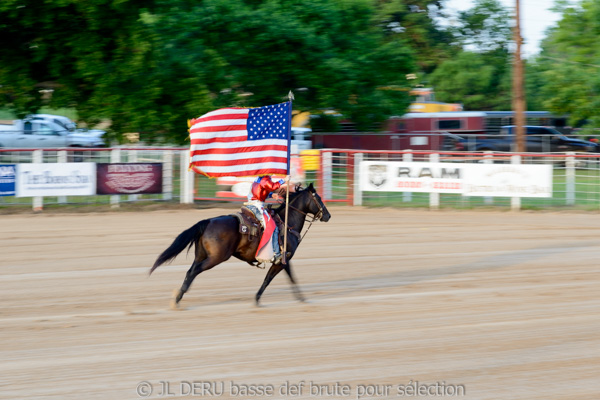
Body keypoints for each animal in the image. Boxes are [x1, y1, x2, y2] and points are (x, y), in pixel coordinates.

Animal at [148, 183, 330, 308]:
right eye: (319, 198)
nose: (327, 215)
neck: (287, 223)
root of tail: (207, 222)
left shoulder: (283, 261)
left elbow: (285, 278)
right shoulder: (282, 260)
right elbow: (271, 279)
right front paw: (258, 299)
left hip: (200, 255)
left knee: (189, 271)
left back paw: (178, 297)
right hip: (216, 258)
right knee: (194, 271)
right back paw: (177, 300)